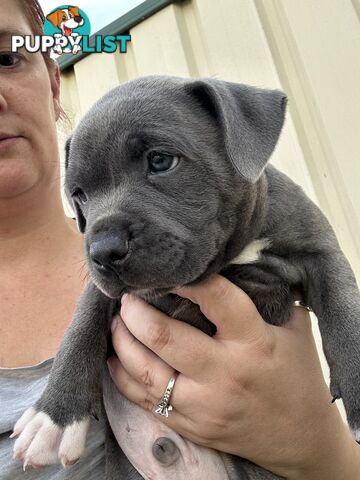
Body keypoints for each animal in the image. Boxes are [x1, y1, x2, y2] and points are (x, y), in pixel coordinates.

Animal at [11, 76, 360, 480]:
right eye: (79, 195)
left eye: (161, 161)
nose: (102, 250)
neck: (228, 257)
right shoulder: (100, 289)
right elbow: (81, 327)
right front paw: (53, 418)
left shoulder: (321, 254)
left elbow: (345, 315)